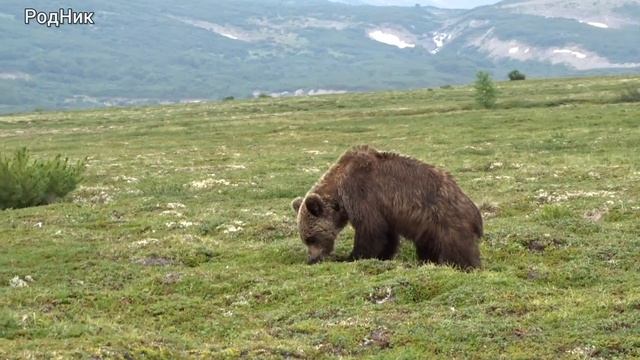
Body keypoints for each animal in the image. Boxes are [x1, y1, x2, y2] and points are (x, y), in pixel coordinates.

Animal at [292, 145, 482, 268]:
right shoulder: (384, 211)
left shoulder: (363, 194)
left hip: (446, 222)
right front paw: (383, 256)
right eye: (305, 238)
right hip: (427, 228)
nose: (312, 259)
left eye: (311, 238)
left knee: (457, 250)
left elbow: (370, 231)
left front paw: (351, 257)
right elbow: (387, 236)